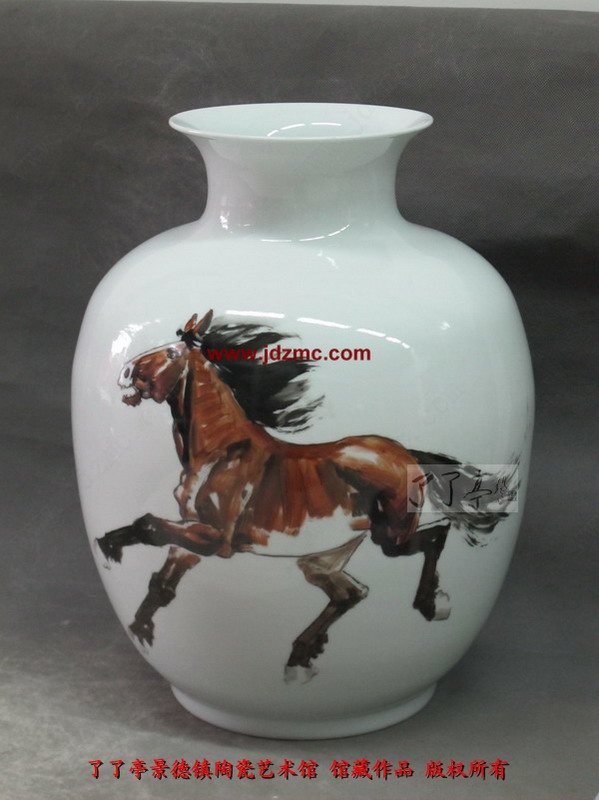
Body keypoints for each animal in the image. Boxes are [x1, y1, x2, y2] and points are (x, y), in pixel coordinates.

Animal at [97, 310, 516, 681]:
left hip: (389, 536)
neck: (219, 452)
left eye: (171, 354)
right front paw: (140, 628)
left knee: (434, 537)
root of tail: (404, 453)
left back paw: (430, 605)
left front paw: (109, 550)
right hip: (324, 556)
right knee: (351, 592)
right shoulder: (190, 535)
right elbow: (161, 583)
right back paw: (300, 658)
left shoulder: (216, 540)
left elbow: (148, 525)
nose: (124, 372)